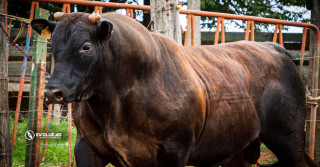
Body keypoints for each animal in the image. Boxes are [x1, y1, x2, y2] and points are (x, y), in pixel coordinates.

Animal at [31, 12, 316, 167]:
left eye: (86, 46)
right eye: (52, 43)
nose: (52, 92)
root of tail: (273, 47)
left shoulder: (174, 149)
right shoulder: (86, 147)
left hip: (289, 137)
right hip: (238, 148)